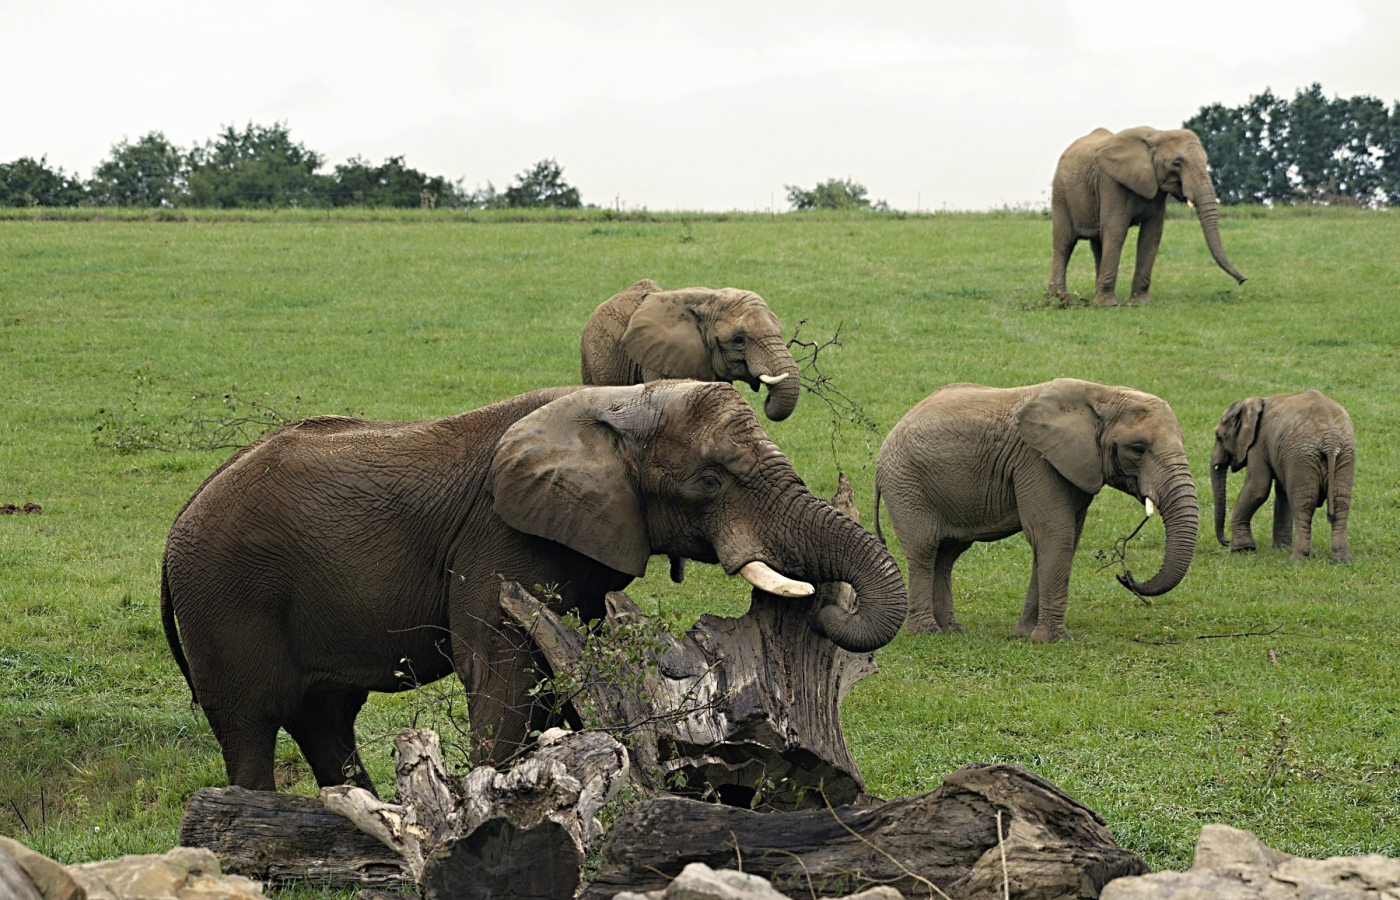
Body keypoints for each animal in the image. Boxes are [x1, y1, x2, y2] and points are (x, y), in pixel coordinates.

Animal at [873, 377, 1192, 643]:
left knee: (947, 554)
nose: (1125, 577)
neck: (1102, 393)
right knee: (925, 550)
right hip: (906, 484)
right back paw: (926, 632)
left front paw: (1025, 634)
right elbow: (1054, 535)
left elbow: (1061, 540)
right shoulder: (1036, 461)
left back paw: (951, 630)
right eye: (1137, 449)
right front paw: (1053, 640)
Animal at [1052, 125, 1248, 309]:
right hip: (1060, 194)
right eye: (1176, 163)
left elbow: (1151, 235)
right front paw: (1108, 304)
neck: (1158, 134)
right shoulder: (1111, 183)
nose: (1243, 280)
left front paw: (1142, 302)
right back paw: (1060, 299)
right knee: (1065, 243)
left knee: (1098, 243)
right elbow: (1116, 231)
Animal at [1209, 389, 1349, 559]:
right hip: (1342, 456)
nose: (1225, 541)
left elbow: (1258, 488)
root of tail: (1330, 441)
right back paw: (1342, 559)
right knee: (1340, 503)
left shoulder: (1258, 442)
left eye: (1219, 437)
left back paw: (1298, 559)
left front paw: (1242, 549)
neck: (1255, 401)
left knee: (1303, 505)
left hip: (1304, 456)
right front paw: (1280, 550)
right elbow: (1283, 492)